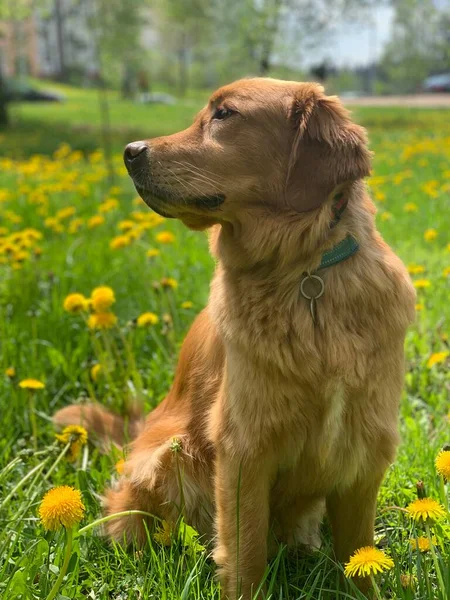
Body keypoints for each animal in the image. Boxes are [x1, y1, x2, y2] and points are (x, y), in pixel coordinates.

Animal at [54, 77, 416, 596]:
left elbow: (358, 553)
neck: (301, 271)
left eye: (224, 114)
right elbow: (245, 551)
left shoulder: (364, 443)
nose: (130, 152)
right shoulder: (244, 447)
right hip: (168, 458)